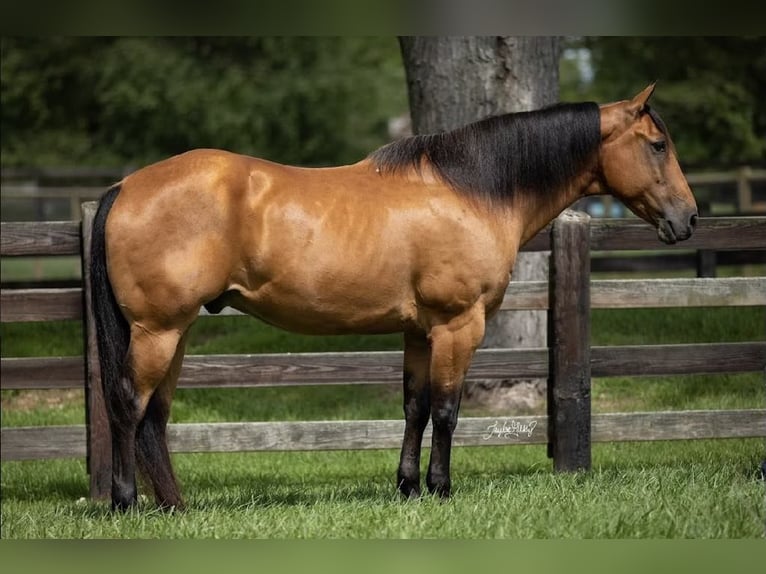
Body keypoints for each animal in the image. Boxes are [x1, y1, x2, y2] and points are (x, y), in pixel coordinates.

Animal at [91, 83, 704, 510]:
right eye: (658, 145)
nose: (689, 219)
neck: (470, 190)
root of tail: (124, 187)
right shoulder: (459, 326)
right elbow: (449, 410)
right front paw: (441, 488)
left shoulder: (418, 331)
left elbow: (416, 406)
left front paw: (408, 488)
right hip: (158, 331)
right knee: (128, 404)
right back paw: (125, 502)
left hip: (176, 331)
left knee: (155, 416)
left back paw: (174, 505)